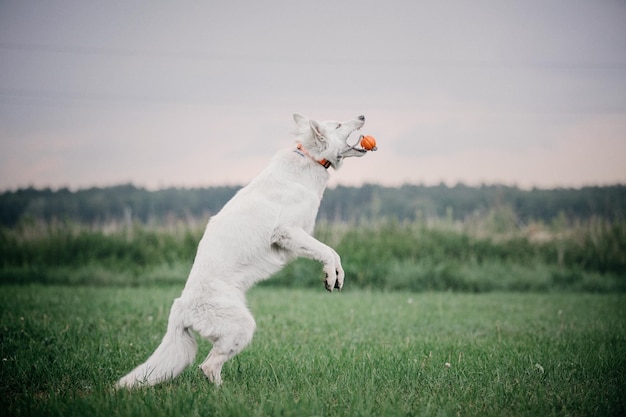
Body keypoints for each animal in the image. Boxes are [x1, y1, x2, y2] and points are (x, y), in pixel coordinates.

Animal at [116, 113, 370, 386]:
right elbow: (327, 251)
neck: (309, 159)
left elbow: (333, 253)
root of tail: (180, 308)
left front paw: (336, 276)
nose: (362, 115)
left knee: (207, 365)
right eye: (338, 125)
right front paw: (331, 275)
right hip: (244, 327)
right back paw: (225, 393)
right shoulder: (288, 232)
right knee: (208, 366)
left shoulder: (299, 236)